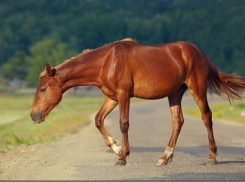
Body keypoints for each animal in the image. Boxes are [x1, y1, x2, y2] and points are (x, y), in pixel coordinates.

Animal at [30, 38, 245, 166]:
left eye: (43, 89)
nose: (33, 115)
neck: (106, 62)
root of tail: (201, 53)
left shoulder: (124, 94)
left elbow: (124, 124)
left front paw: (123, 157)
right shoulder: (112, 97)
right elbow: (98, 120)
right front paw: (117, 149)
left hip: (197, 89)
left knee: (206, 117)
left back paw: (212, 157)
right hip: (175, 94)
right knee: (178, 122)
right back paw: (165, 157)